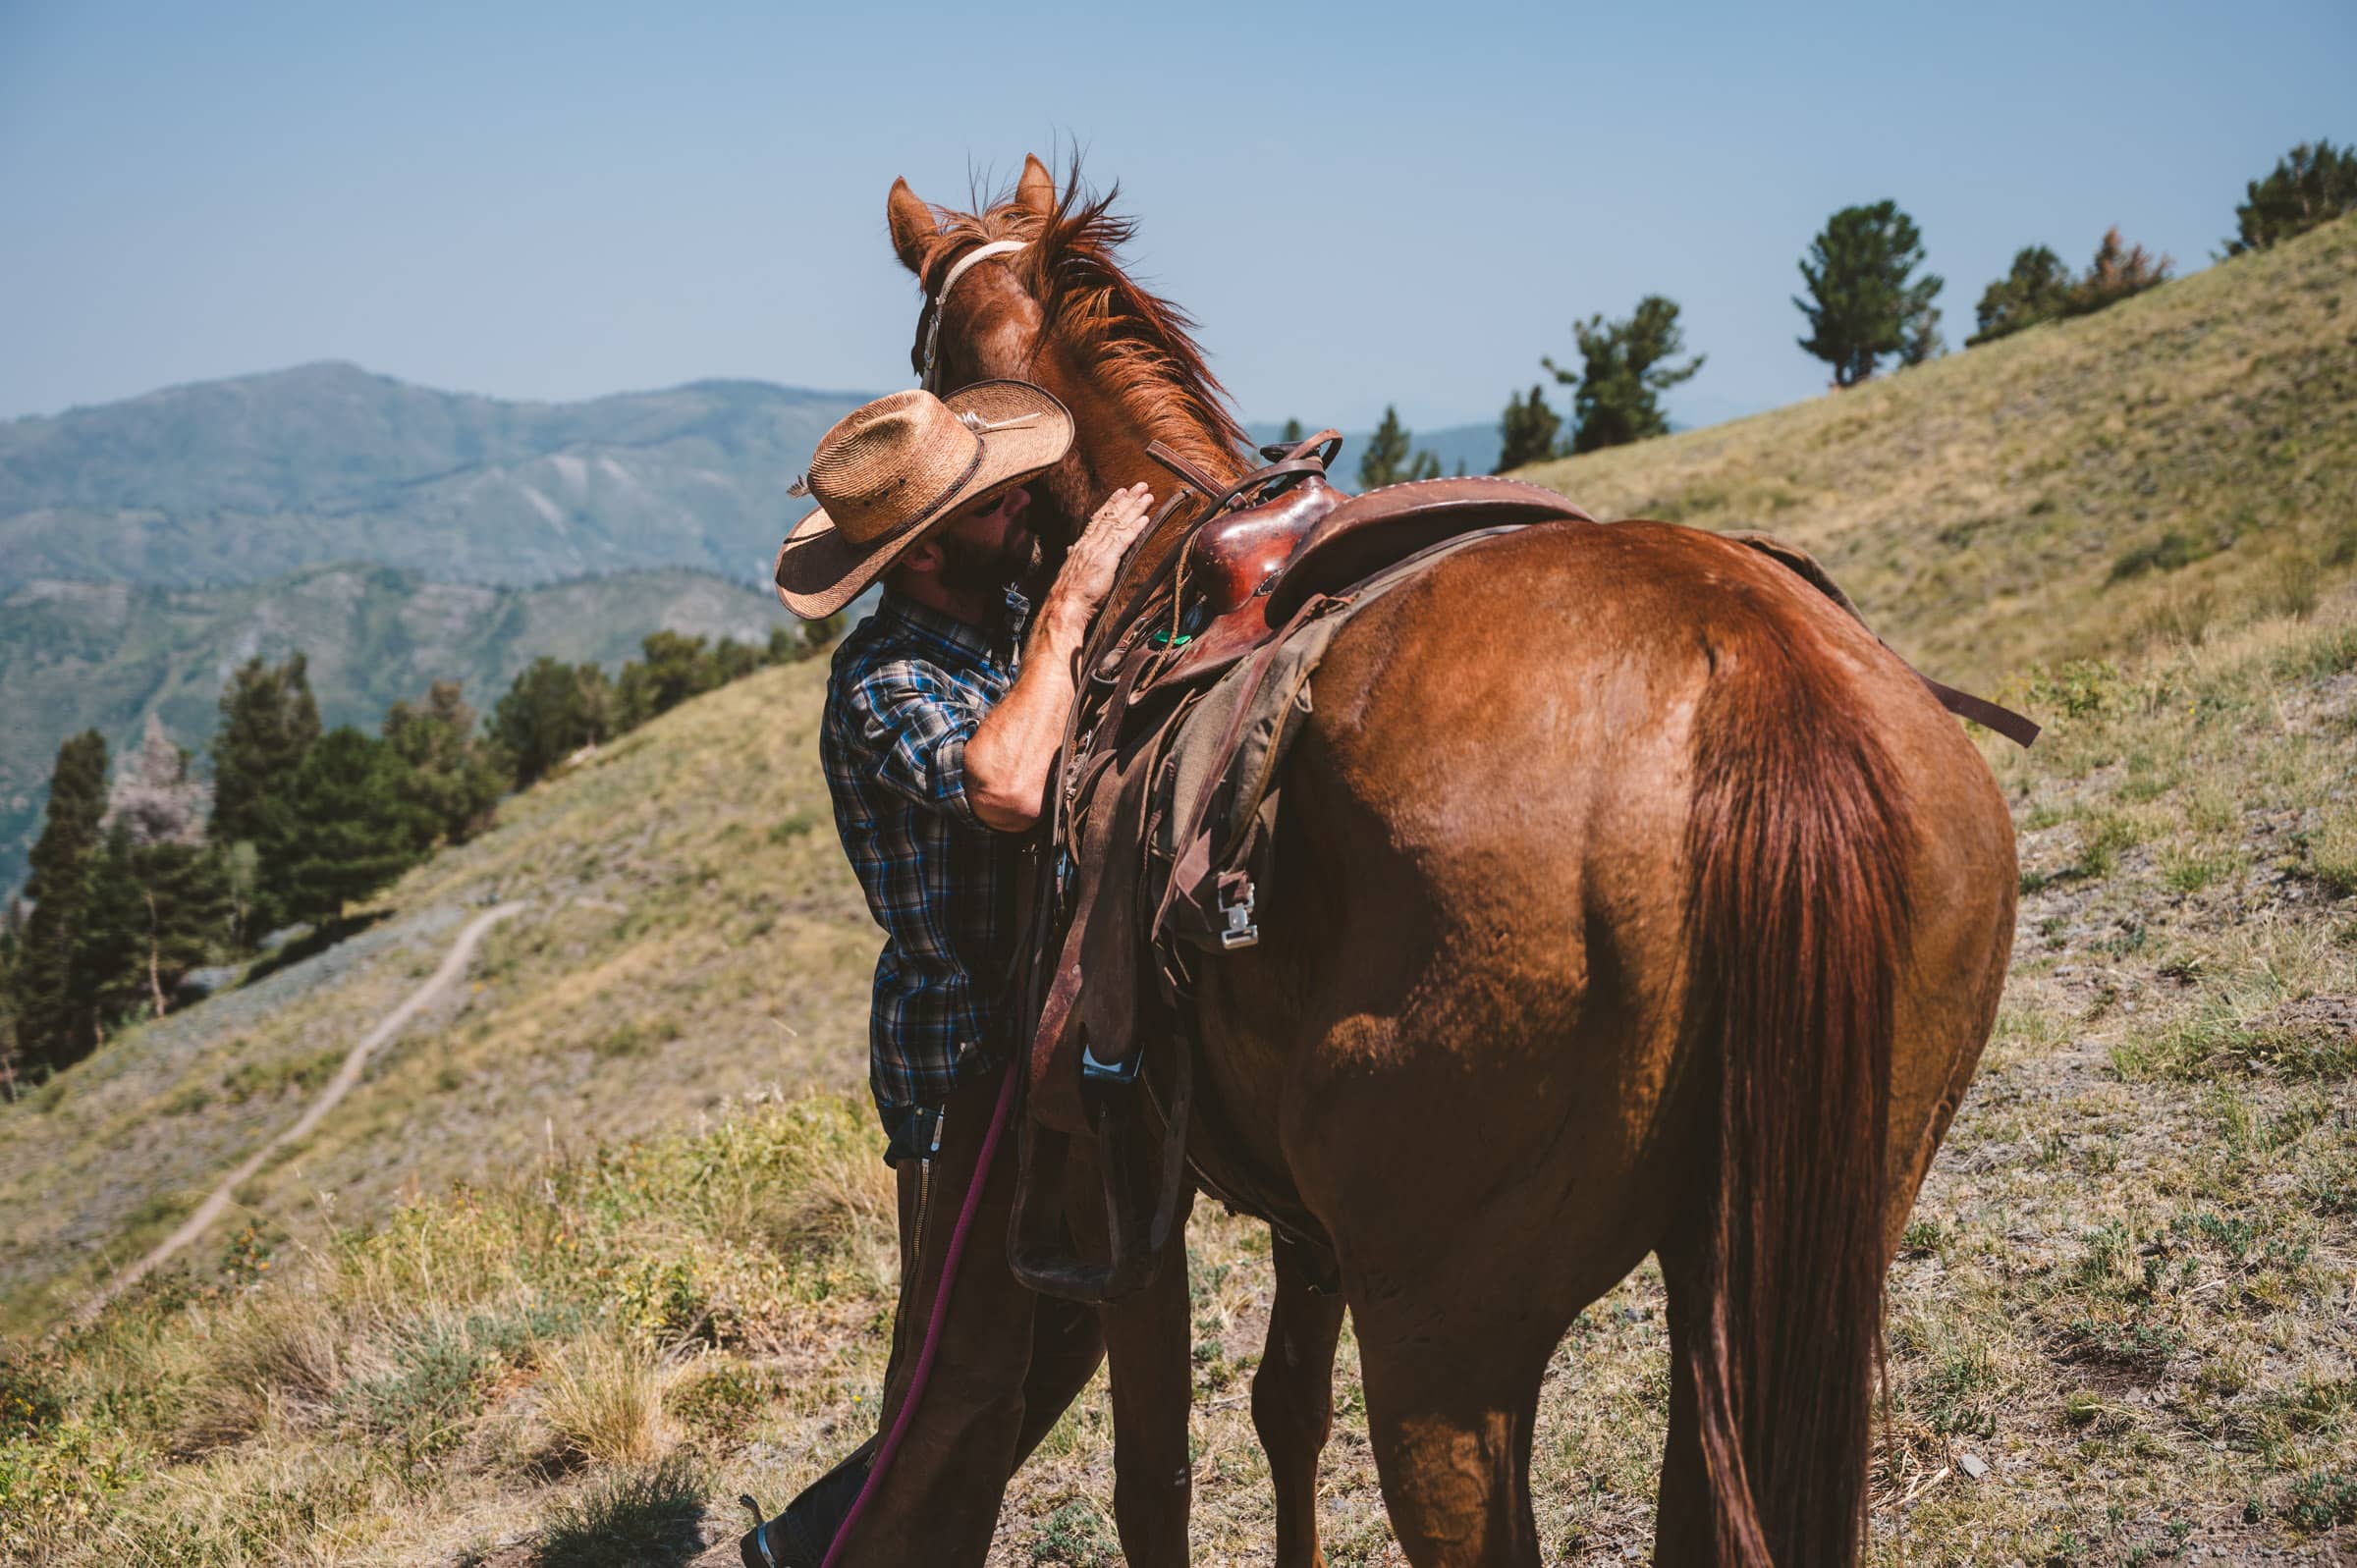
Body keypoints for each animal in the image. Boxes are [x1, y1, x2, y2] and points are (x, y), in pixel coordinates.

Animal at [886, 159, 2007, 1565]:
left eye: (920, 358)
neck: (1157, 556)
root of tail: (1753, 670)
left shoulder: (1120, 1189)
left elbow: (1155, 1480)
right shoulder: (1300, 1219)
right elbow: (1284, 1408)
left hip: (1444, 1345)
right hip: (1772, 1259)